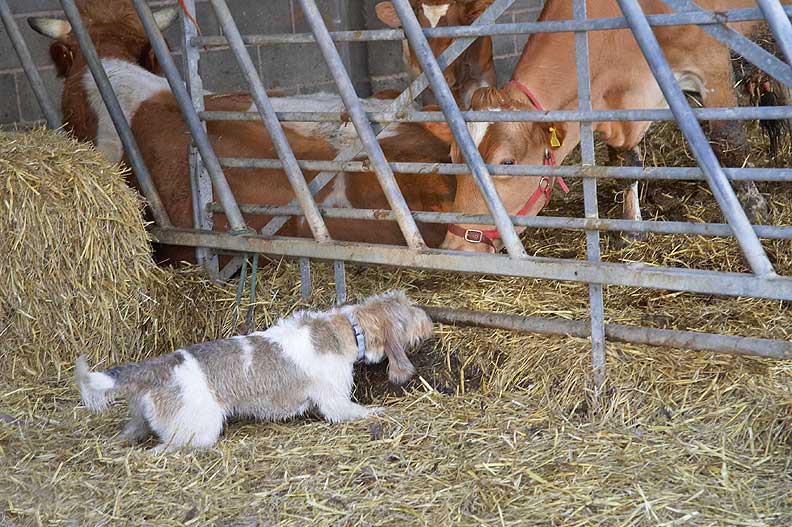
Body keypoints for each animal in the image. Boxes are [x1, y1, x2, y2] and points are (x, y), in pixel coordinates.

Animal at [438, 0, 783, 253]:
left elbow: (730, 142)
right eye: (454, 156)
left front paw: (755, 209)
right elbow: (625, 163)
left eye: (507, 162)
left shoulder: (711, 64)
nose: (456, 246)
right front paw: (631, 228)